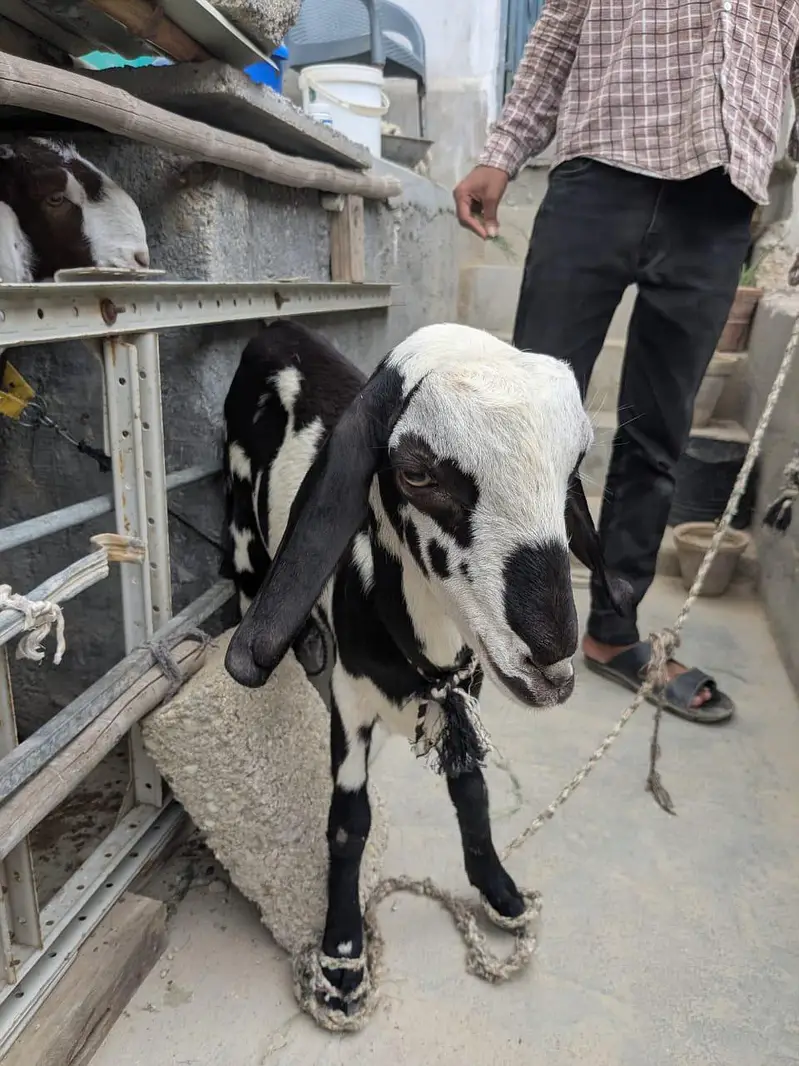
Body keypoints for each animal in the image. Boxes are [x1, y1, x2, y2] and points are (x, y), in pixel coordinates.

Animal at [223, 319, 629, 1014]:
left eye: (576, 463)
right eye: (415, 473)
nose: (550, 657)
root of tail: (278, 327)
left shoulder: (462, 698)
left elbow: (473, 795)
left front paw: (500, 893)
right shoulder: (351, 708)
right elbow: (348, 824)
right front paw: (341, 960)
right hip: (244, 528)